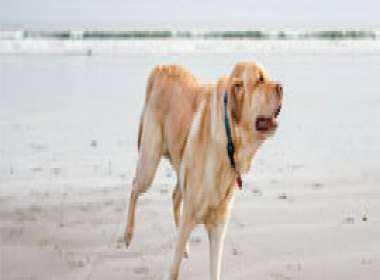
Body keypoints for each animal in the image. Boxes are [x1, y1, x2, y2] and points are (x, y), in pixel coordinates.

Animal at [124, 62, 282, 278]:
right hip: (149, 163)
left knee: (175, 196)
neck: (229, 140)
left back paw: (184, 247)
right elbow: (173, 270)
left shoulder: (218, 226)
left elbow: (215, 271)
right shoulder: (191, 214)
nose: (282, 87)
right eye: (260, 81)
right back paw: (127, 235)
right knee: (134, 188)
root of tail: (162, 67)